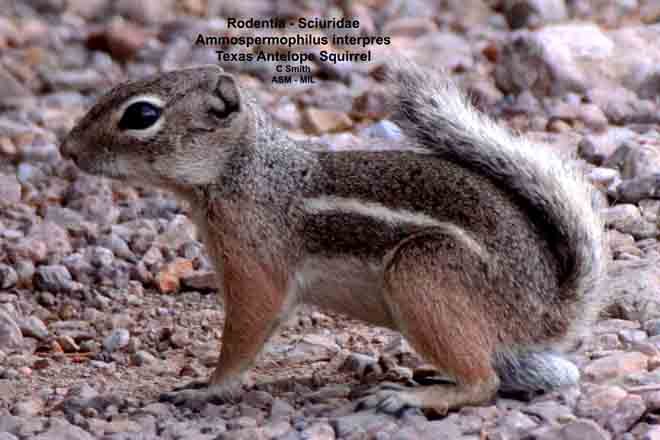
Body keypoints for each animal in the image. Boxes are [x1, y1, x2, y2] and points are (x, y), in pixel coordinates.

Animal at [59, 61, 604, 412]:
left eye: (142, 115)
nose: (66, 149)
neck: (244, 169)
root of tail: (546, 310)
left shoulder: (255, 268)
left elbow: (245, 333)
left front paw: (206, 390)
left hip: (422, 273)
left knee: (483, 383)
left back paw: (414, 396)